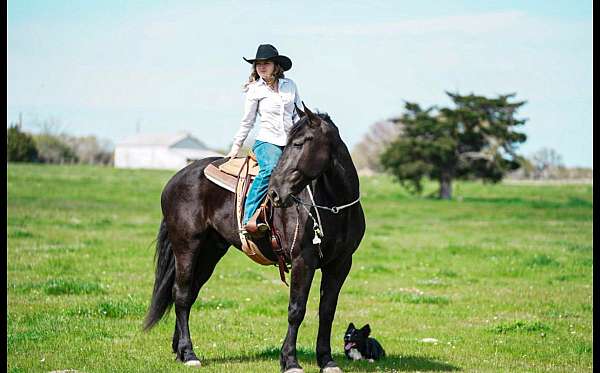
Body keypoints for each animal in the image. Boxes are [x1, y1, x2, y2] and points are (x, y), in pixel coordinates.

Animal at [145, 104, 366, 372]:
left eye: (299, 144)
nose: (275, 192)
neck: (335, 207)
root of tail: (175, 180)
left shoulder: (341, 264)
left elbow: (327, 311)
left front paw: (326, 360)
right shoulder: (303, 260)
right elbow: (296, 309)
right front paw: (290, 360)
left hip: (210, 252)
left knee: (190, 292)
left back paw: (179, 350)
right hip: (187, 246)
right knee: (182, 294)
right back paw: (189, 354)